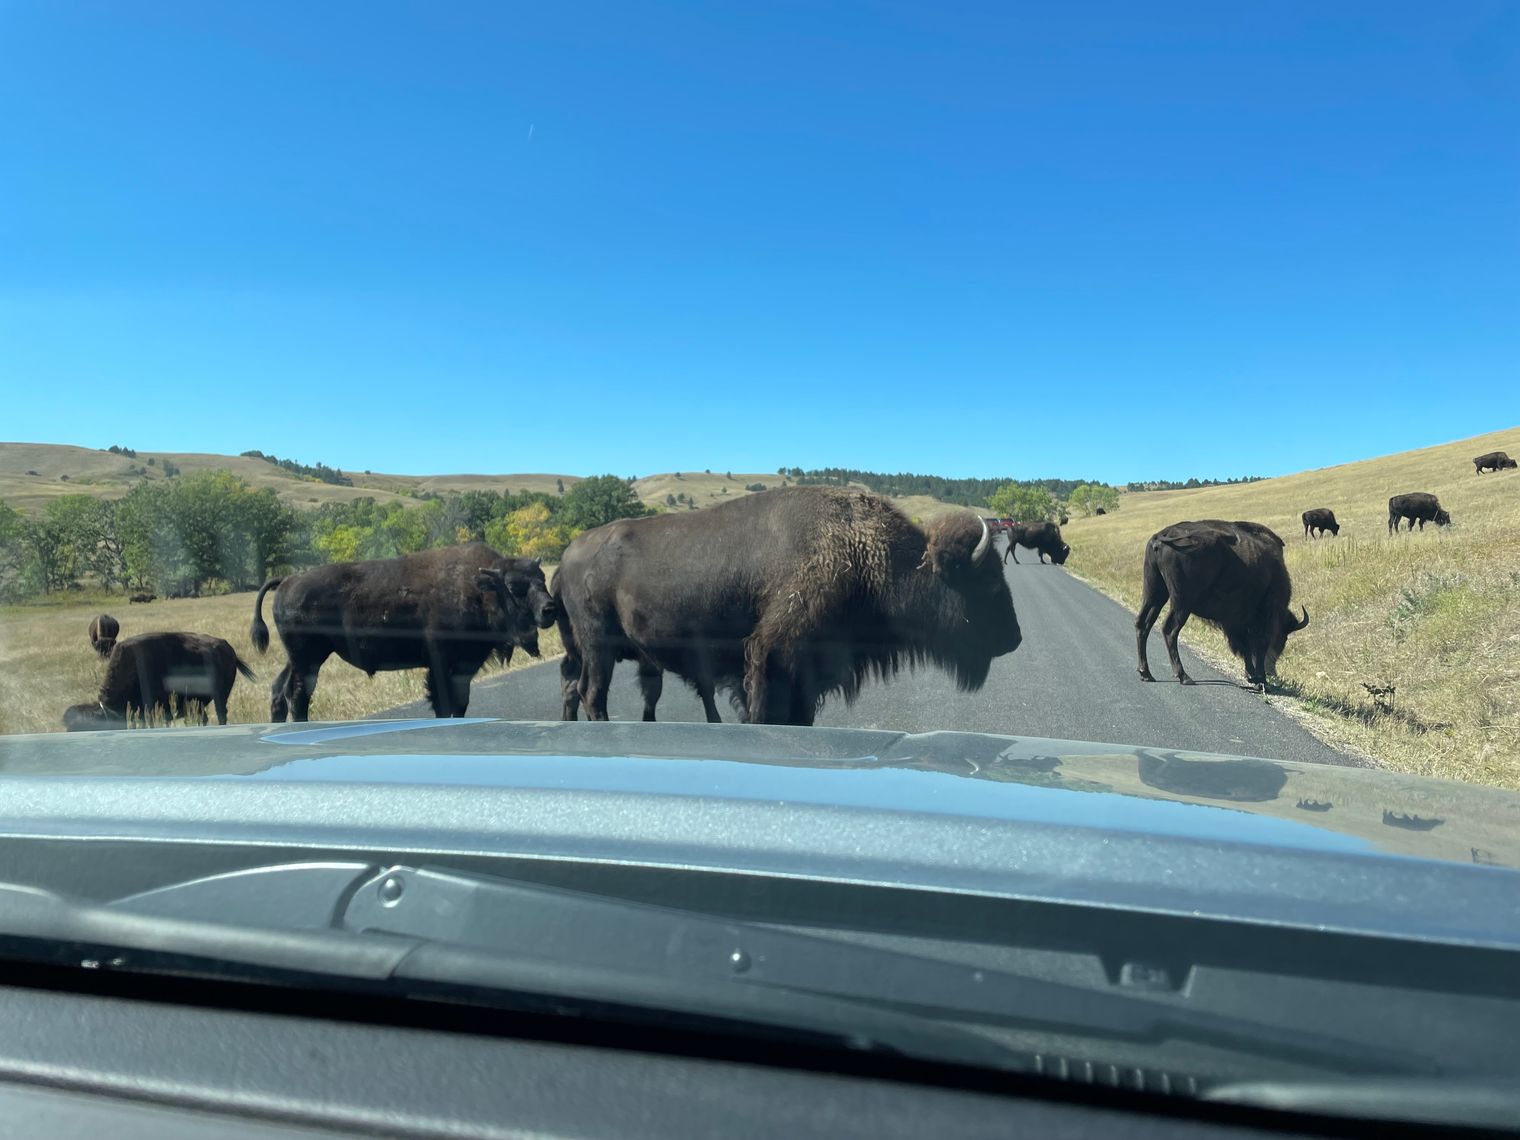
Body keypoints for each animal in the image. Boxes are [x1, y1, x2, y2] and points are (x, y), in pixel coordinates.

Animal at [251, 543, 556, 721]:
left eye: (541, 579)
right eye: (514, 587)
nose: (550, 609)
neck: (479, 589)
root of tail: (288, 580)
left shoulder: (464, 665)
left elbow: (460, 703)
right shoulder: (441, 664)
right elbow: (444, 703)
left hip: (298, 658)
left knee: (279, 690)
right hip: (308, 659)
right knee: (298, 696)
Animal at [554, 486, 1022, 725]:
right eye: (986, 582)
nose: (1015, 638)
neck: (868, 556)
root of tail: (566, 556)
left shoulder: (809, 675)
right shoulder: (775, 657)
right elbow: (769, 712)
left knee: (576, 689)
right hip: (599, 647)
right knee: (593, 693)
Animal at [1135, 520, 1309, 689]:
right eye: (1282, 638)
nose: (1272, 672)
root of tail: (1162, 536)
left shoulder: (1236, 623)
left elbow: (1245, 646)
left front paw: (1252, 676)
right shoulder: (1262, 617)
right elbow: (1258, 645)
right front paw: (1260, 679)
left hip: (1155, 594)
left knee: (1143, 624)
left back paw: (1146, 673)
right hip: (1181, 603)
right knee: (1170, 630)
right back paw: (1184, 676)